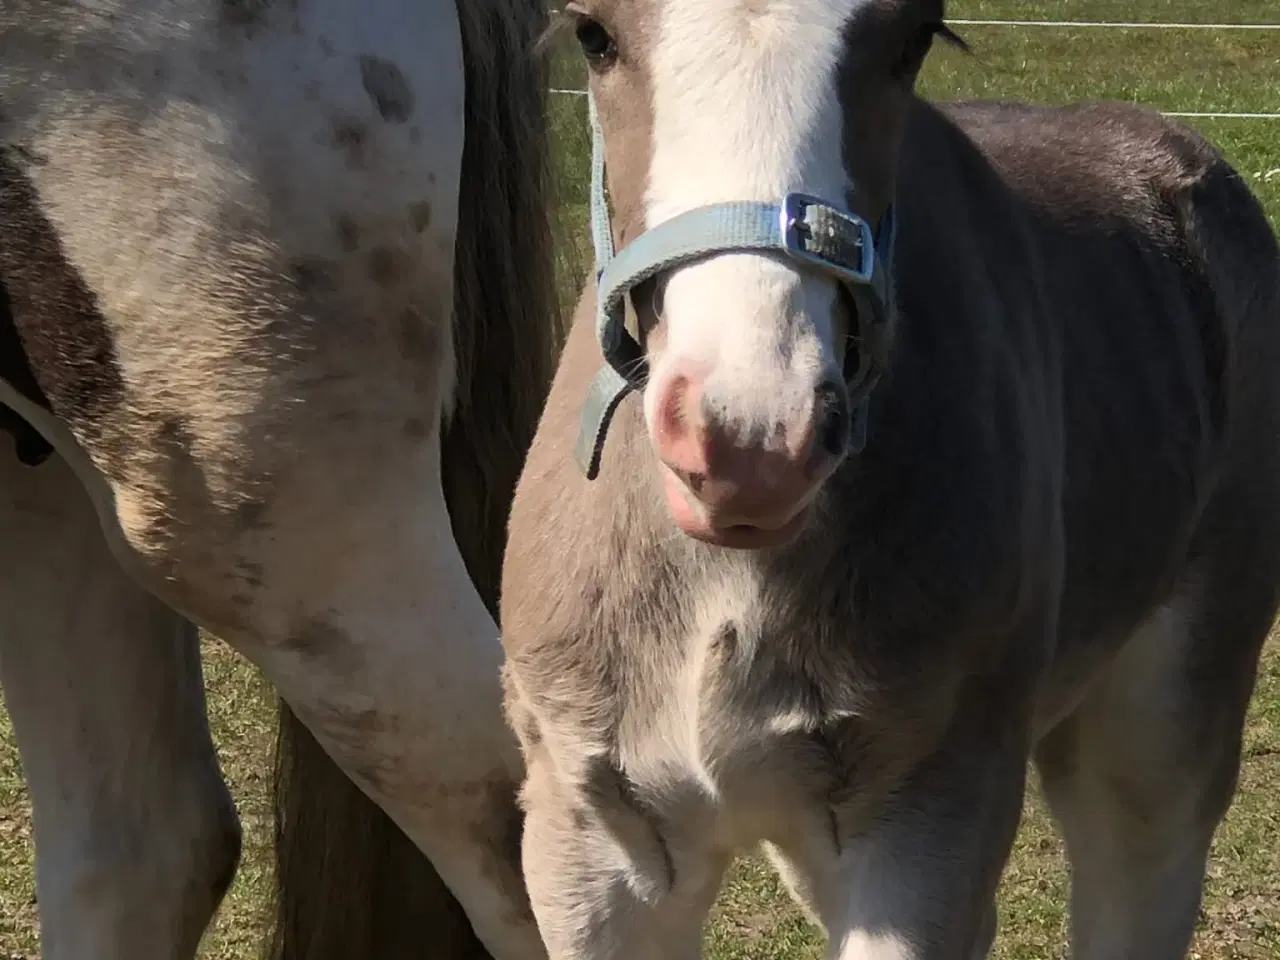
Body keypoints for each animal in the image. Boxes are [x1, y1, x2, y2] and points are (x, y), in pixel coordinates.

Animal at [496, 0, 1280, 957]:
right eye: (592, 34)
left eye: (912, 38)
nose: (751, 442)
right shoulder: (595, 848)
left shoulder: (924, 833)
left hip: (1165, 721)